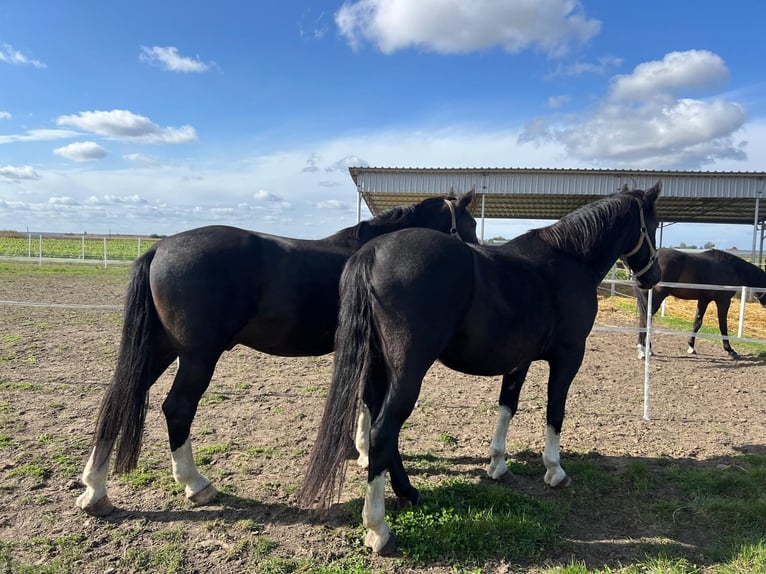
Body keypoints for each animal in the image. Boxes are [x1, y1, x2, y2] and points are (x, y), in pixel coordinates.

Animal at [76, 192, 474, 516]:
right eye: (468, 225)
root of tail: (158, 250)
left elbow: (363, 402)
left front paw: (360, 450)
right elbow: (370, 405)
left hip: (159, 349)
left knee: (118, 397)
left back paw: (95, 492)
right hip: (197, 356)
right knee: (177, 408)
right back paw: (196, 484)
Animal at [296, 182, 664, 556]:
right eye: (653, 222)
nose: (654, 276)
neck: (568, 261)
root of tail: (370, 253)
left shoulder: (520, 361)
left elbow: (507, 407)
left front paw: (498, 465)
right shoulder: (568, 357)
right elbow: (555, 412)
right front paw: (555, 470)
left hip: (376, 369)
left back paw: (407, 495)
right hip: (406, 373)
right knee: (382, 433)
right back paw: (379, 530)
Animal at [636, 249, 766, 360]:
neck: (731, 268)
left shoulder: (704, 300)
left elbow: (697, 323)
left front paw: (691, 347)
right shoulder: (723, 301)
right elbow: (723, 325)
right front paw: (730, 350)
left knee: (645, 319)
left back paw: (648, 349)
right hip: (656, 298)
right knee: (645, 320)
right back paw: (643, 351)